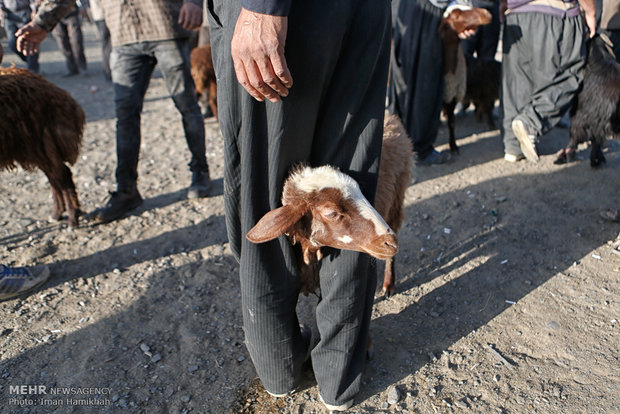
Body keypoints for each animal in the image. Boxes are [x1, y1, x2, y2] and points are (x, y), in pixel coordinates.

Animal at [0, 68, 85, 230]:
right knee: (54, 177)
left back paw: (72, 220)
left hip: (41, 142)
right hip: (38, 147)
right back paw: (57, 214)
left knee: (63, 175)